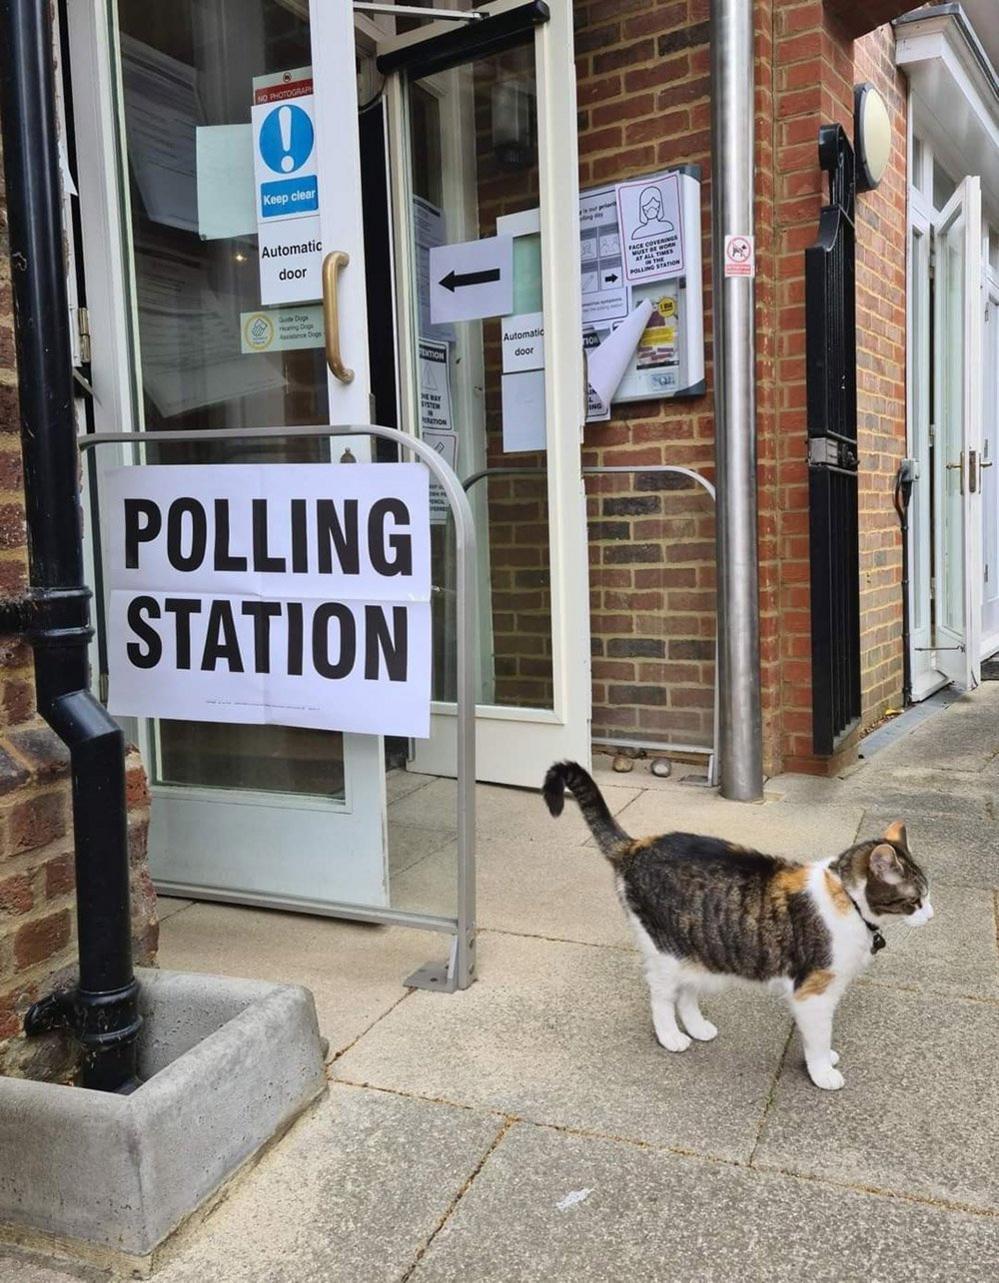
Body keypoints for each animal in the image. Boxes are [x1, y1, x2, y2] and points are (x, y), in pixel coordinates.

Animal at [543, 759, 933, 1093]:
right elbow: (819, 1036)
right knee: (662, 995)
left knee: (687, 993)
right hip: (666, 950)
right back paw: (671, 1036)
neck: (848, 902)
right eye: (915, 899)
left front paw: (821, 1061)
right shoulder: (814, 993)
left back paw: (697, 1028)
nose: (931, 915)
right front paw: (822, 1071)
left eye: (928, 894)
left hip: (699, 945)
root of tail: (635, 845)